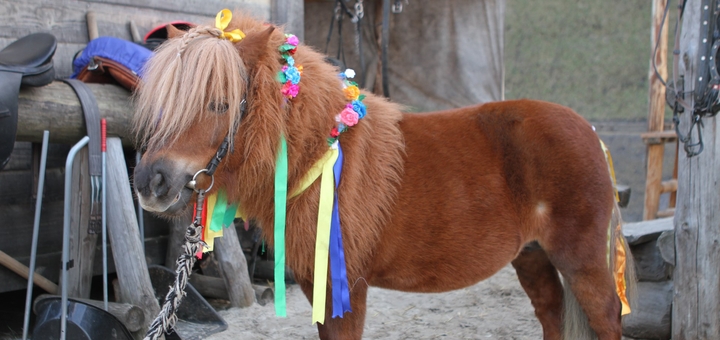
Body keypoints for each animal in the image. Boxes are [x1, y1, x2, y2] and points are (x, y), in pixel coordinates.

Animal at [132, 11, 632, 340]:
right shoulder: (318, 285)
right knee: (552, 314)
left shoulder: (347, 288)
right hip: (532, 256)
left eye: (219, 103)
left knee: (606, 317)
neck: (322, 151)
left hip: (581, 260)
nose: (151, 182)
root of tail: (589, 130)